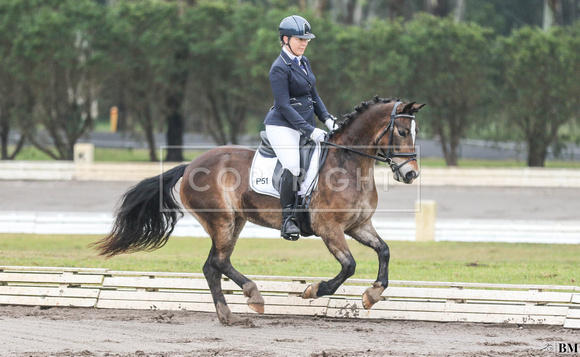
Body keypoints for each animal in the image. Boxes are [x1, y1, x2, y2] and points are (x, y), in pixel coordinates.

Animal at [92, 96, 426, 324]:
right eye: (401, 132)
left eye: (415, 132)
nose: (411, 174)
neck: (348, 162)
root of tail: (190, 166)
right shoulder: (329, 229)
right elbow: (349, 266)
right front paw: (313, 290)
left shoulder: (358, 226)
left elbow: (384, 251)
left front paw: (372, 295)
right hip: (223, 222)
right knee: (219, 262)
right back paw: (254, 296)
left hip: (234, 223)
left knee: (212, 265)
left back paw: (227, 314)